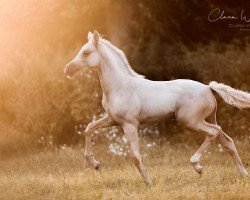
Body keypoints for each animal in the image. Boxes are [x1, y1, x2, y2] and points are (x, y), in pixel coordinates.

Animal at [64, 30, 248, 185]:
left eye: (86, 52)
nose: (68, 69)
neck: (120, 87)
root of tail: (208, 88)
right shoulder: (113, 120)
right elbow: (89, 128)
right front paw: (95, 164)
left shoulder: (130, 124)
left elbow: (135, 156)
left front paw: (149, 183)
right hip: (208, 118)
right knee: (227, 140)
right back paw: (243, 173)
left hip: (190, 121)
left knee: (213, 132)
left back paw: (198, 166)